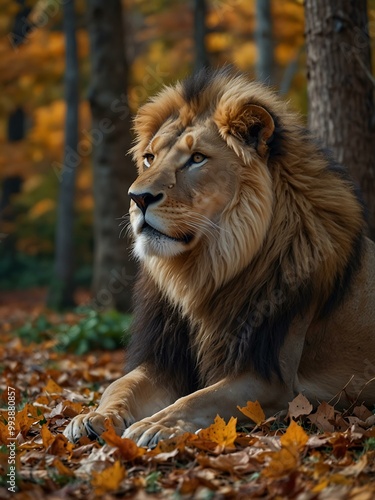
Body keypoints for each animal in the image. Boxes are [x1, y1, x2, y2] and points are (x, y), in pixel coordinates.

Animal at [64, 67, 375, 450]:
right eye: (150, 158)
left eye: (197, 159)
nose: (137, 198)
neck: (203, 271)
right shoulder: (167, 359)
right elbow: (119, 385)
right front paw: (94, 417)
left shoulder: (269, 378)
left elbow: (198, 399)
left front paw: (156, 425)